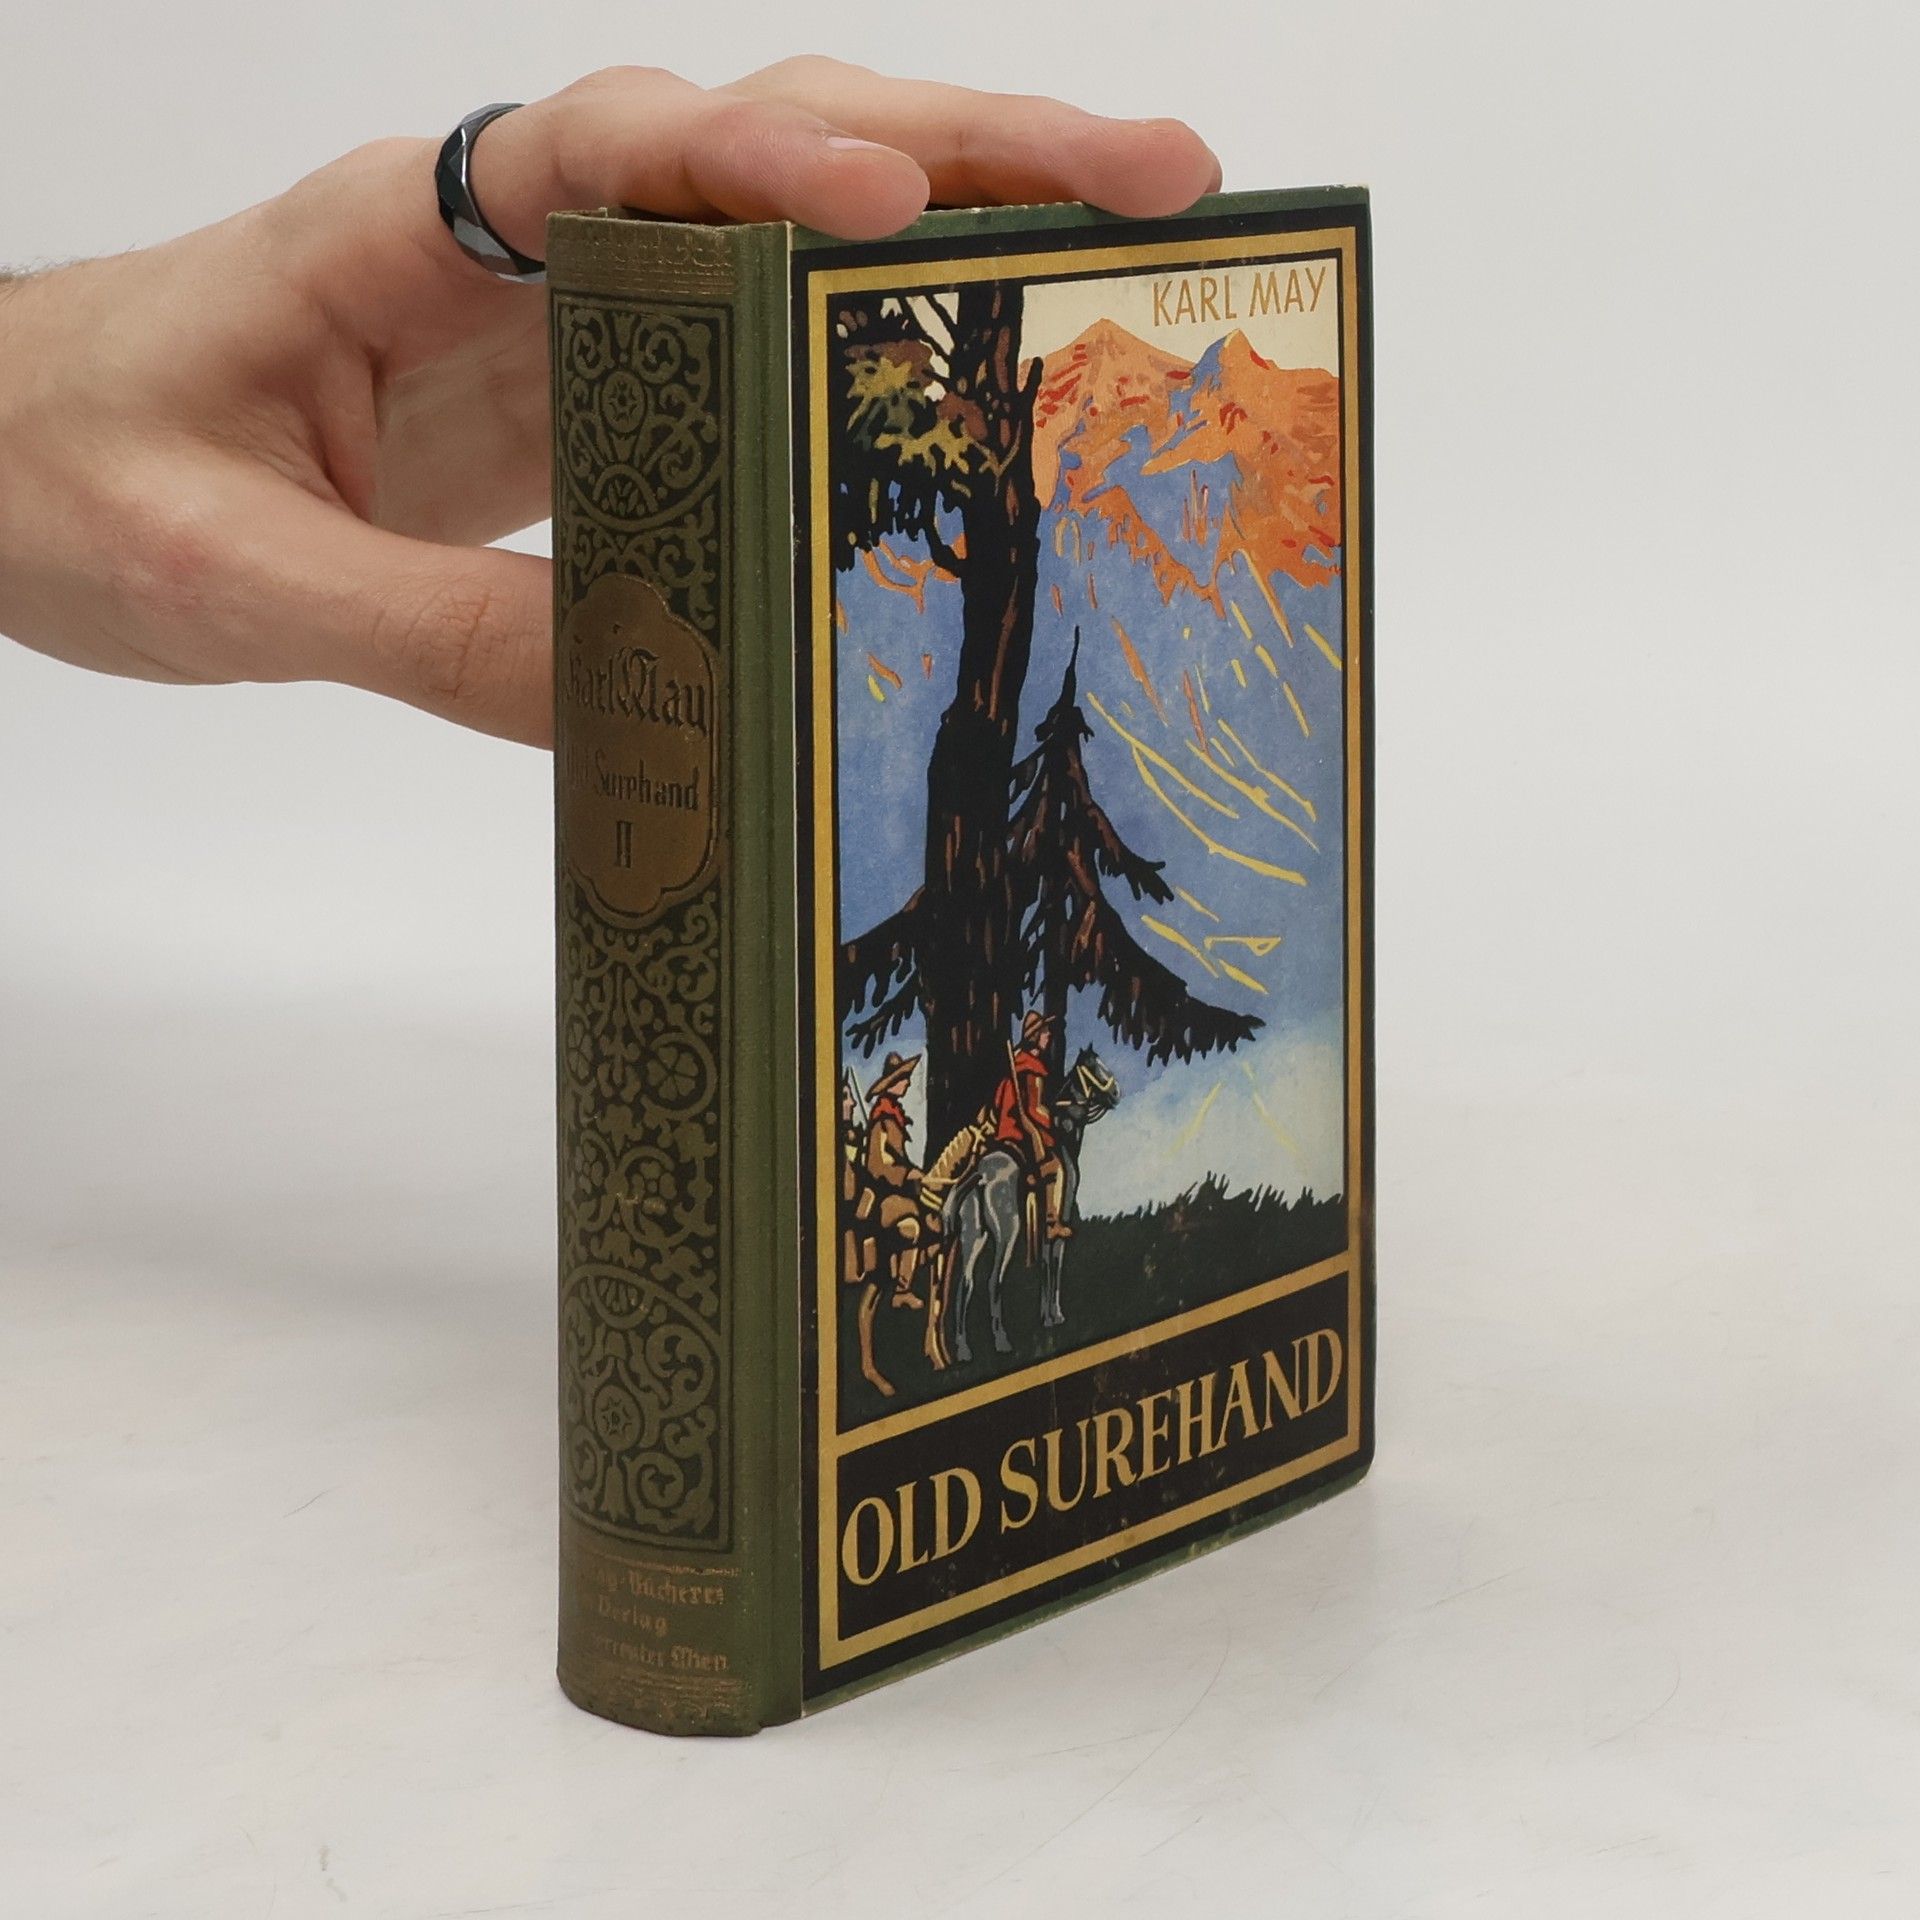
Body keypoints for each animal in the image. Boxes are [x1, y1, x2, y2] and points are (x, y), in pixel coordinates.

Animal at [938, 1045, 1121, 1363]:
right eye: (1094, 1068)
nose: (1116, 1093)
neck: (1062, 1132)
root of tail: (979, 1173)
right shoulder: (1060, 1213)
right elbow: (1055, 1258)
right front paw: (1055, 1315)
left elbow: (1046, 1259)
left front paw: (1046, 1316)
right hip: (1008, 1229)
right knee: (993, 1280)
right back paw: (1001, 1341)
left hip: (973, 1234)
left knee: (966, 1282)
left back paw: (963, 1349)